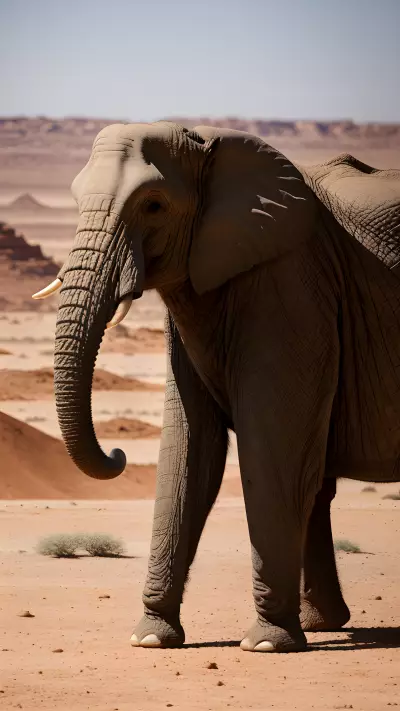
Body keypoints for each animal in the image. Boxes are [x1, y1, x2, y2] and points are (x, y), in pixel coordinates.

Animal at [33, 122, 400, 653]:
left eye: (154, 205)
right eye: (76, 198)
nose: (117, 454)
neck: (205, 142)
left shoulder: (290, 285)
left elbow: (272, 450)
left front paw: (267, 643)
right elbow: (189, 447)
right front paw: (151, 637)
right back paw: (323, 624)